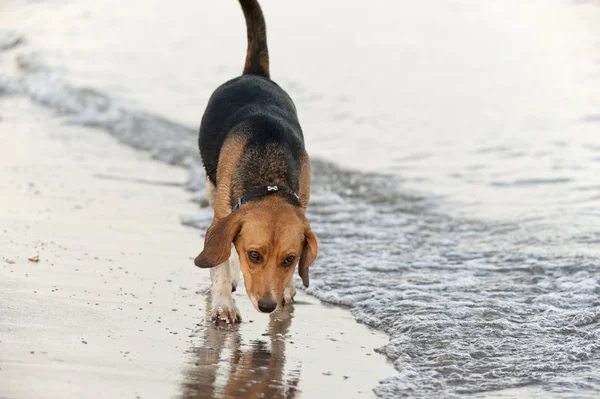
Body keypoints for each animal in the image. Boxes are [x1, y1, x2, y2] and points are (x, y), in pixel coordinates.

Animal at [196, 0, 318, 324]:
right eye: (254, 255)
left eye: (289, 259)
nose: (267, 306)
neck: (269, 177)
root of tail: (255, 73)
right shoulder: (222, 213)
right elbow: (221, 263)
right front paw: (223, 304)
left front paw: (287, 288)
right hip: (212, 187)